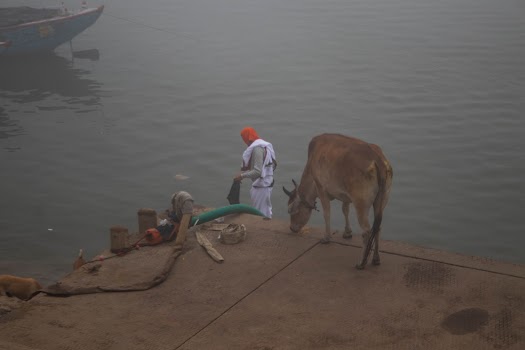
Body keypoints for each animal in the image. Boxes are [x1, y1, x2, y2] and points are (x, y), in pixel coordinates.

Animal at [282, 133, 392, 268]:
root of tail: (378, 161)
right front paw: (347, 232)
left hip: (360, 202)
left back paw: (361, 263)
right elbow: (345, 210)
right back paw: (376, 258)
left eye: (290, 210)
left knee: (366, 230)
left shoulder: (321, 188)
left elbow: (327, 213)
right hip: (382, 199)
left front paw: (326, 238)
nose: (292, 228)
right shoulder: (346, 195)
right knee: (377, 227)